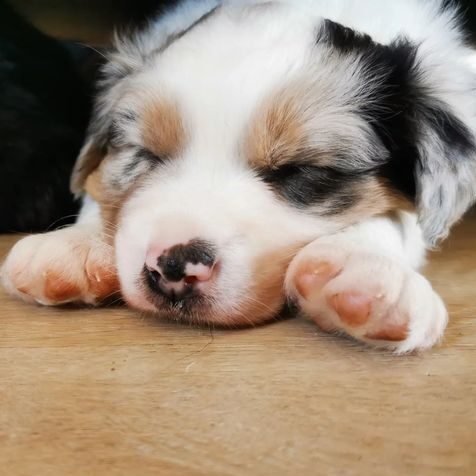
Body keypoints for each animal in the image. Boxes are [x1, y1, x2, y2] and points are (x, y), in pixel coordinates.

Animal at [0, 0, 476, 354]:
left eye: (299, 170)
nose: (174, 266)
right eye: (146, 153)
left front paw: (366, 271)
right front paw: (74, 245)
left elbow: (402, 218)